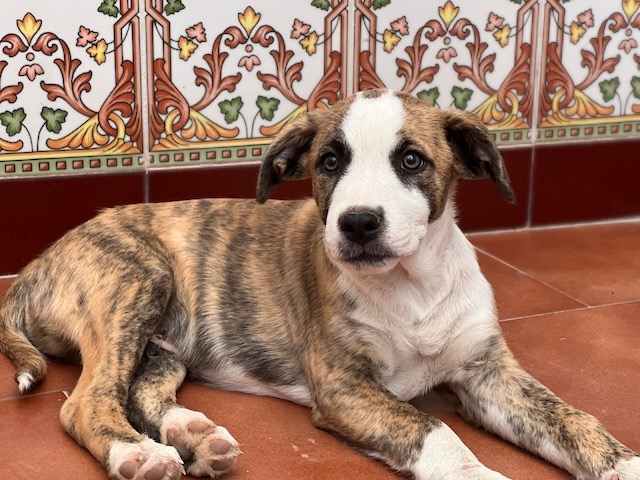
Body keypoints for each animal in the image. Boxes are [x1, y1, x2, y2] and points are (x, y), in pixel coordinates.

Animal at [1, 89, 638, 480]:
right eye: (330, 162)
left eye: (412, 161)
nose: (357, 223)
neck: (412, 287)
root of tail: (36, 264)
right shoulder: (343, 387)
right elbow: (435, 430)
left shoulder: (489, 374)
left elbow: (573, 418)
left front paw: (624, 463)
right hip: (137, 280)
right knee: (88, 401)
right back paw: (139, 454)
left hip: (166, 340)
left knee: (142, 391)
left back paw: (196, 435)